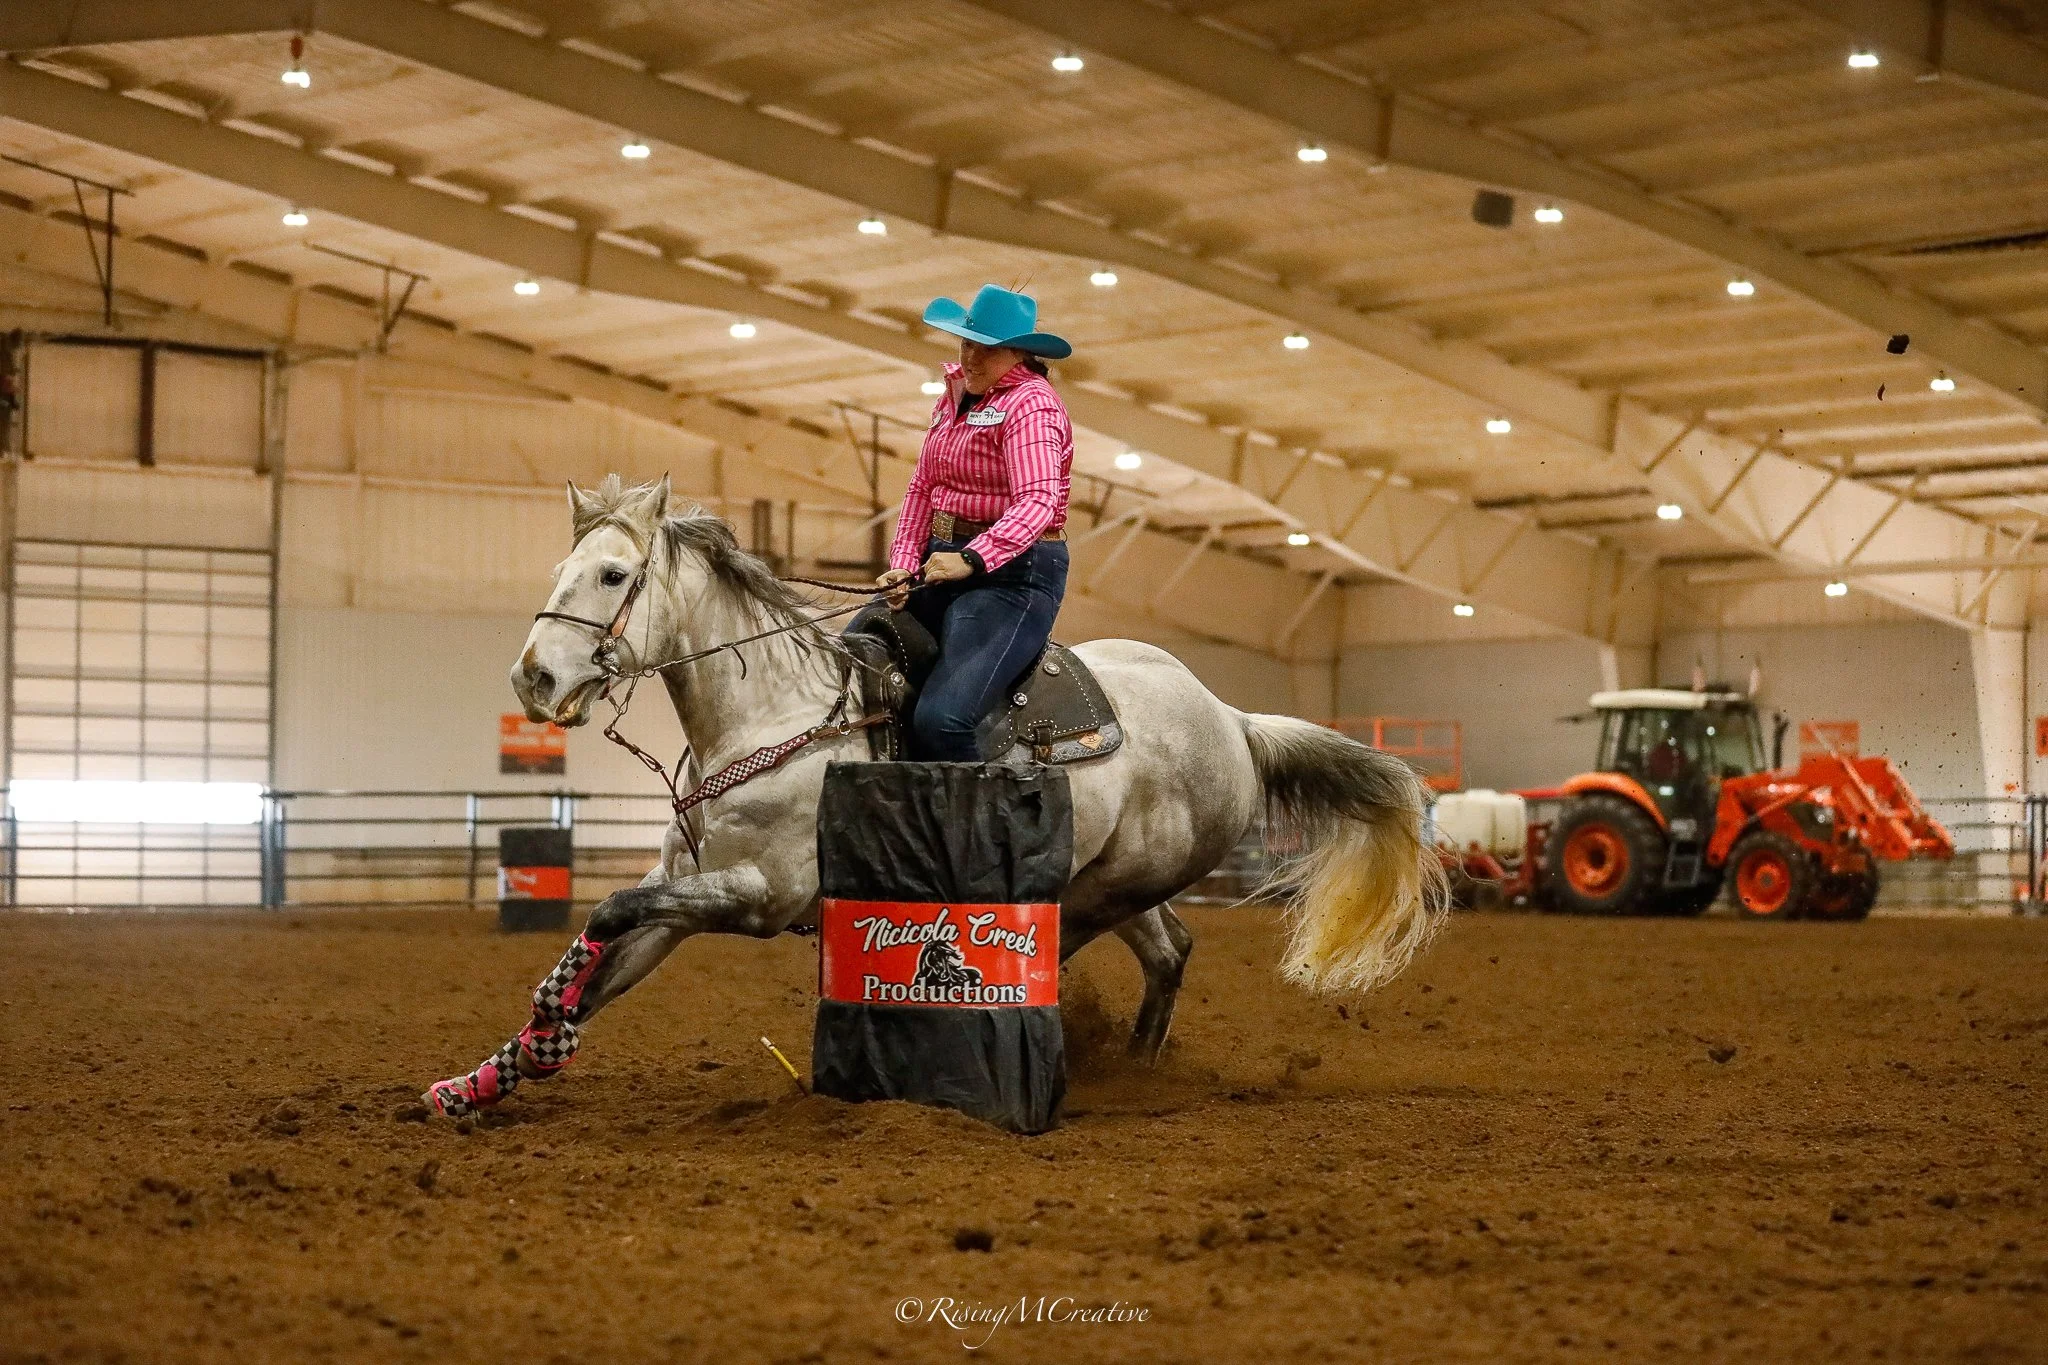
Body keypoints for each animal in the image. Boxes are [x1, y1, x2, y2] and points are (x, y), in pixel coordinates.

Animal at [424, 474, 1446, 1116]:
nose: (532, 679)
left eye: (612, 573)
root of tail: (1230, 715)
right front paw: (494, 1072)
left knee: (1088, 947)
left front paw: (547, 1022)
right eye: (561, 570)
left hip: (1109, 886)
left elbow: (606, 910)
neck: (772, 714)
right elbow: (609, 953)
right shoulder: (687, 890)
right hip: (1119, 878)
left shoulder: (758, 897)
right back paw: (1137, 1069)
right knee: (1171, 951)